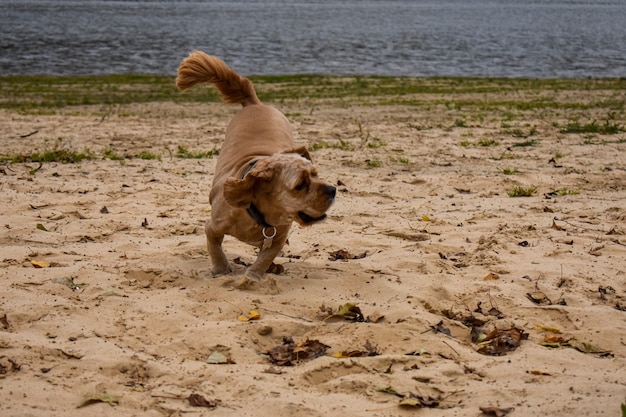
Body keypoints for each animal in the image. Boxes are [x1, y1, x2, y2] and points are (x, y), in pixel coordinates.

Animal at [174, 51, 336, 280]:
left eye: (316, 174)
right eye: (301, 184)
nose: (333, 190)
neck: (261, 218)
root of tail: (254, 103)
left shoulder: (277, 239)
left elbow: (264, 259)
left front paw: (253, 277)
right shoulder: (212, 227)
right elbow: (215, 249)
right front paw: (221, 270)